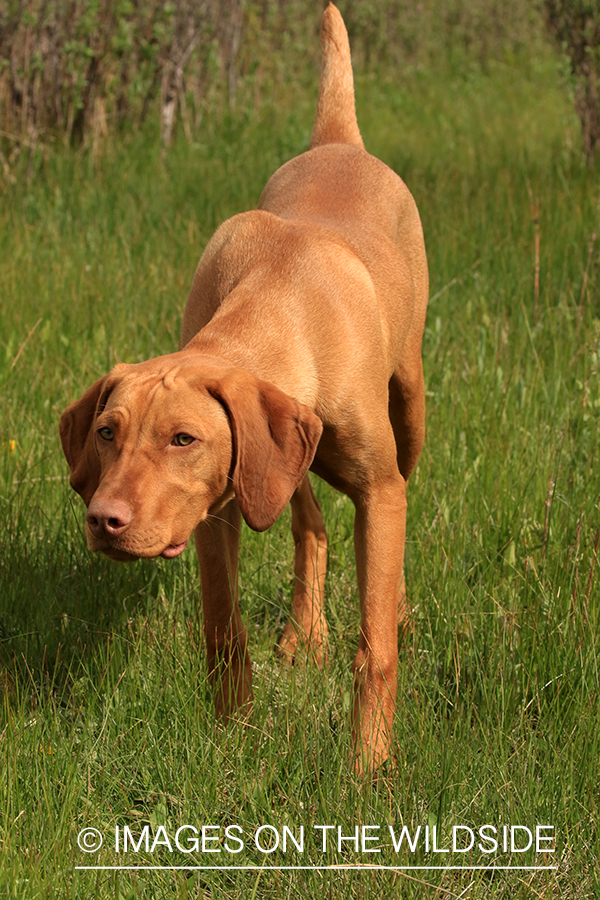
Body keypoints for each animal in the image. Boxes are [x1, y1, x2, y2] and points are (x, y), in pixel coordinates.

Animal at [58, 3, 426, 768]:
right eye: (106, 433)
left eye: (182, 438)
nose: (104, 520)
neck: (279, 298)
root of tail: (338, 139)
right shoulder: (219, 505)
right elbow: (224, 630)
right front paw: (231, 741)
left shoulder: (377, 490)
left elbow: (374, 647)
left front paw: (369, 767)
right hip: (285, 458)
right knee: (309, 521)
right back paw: (304, 634)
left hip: (409, 404)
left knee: (399, 496)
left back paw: (399, 613)